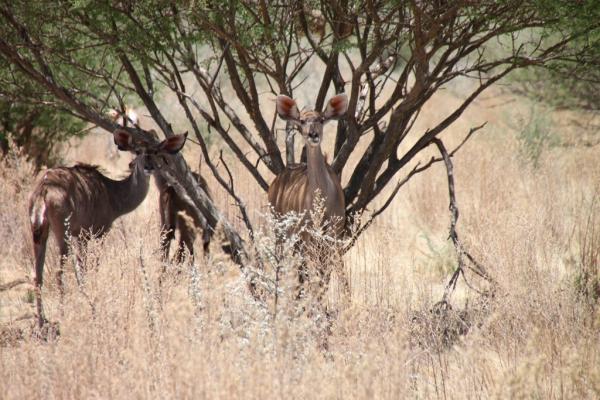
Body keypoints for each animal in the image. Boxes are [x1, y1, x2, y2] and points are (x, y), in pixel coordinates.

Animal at [28, 129, 187, 328]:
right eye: (138, 151)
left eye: (156, 151)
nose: (148, 167)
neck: (112, 195)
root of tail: (44, 189)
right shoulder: (93, 233)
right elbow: (89, 270)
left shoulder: (80, 235)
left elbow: (82, 272)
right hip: (61, 232)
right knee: (58, 272)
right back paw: (61, 315)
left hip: (39, 231)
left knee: (37, 275)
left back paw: (42, 321)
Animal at [269, 93, 350, 300]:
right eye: (303, 121)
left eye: (321, 119)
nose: (313, 135)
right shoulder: (308, 237)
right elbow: (314, 275)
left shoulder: (334, 236)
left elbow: (330, 274)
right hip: (280, 232)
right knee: (282, 265)